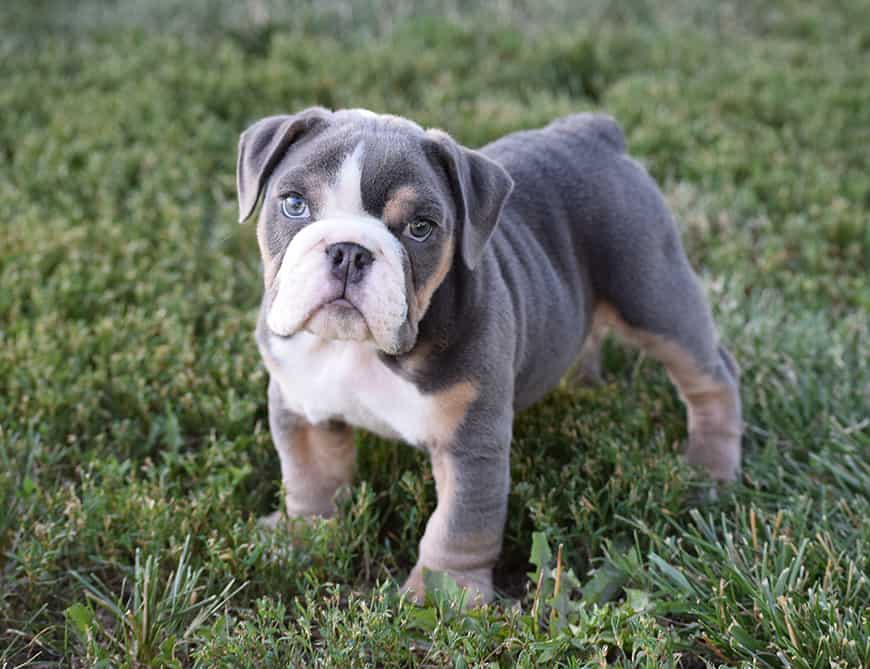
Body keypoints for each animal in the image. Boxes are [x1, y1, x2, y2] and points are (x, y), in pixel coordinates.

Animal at [237, 107, 744, 604]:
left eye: (420, 228)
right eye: (294, 204)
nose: (349, 250)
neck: (358, 348)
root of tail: (593, 131)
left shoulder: (471, 442)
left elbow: (459, 523)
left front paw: (444, 593)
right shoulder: (302, 407)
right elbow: (310, 477)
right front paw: (301, 536)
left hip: (652, 295)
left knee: (712, 376)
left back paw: (710, 469)